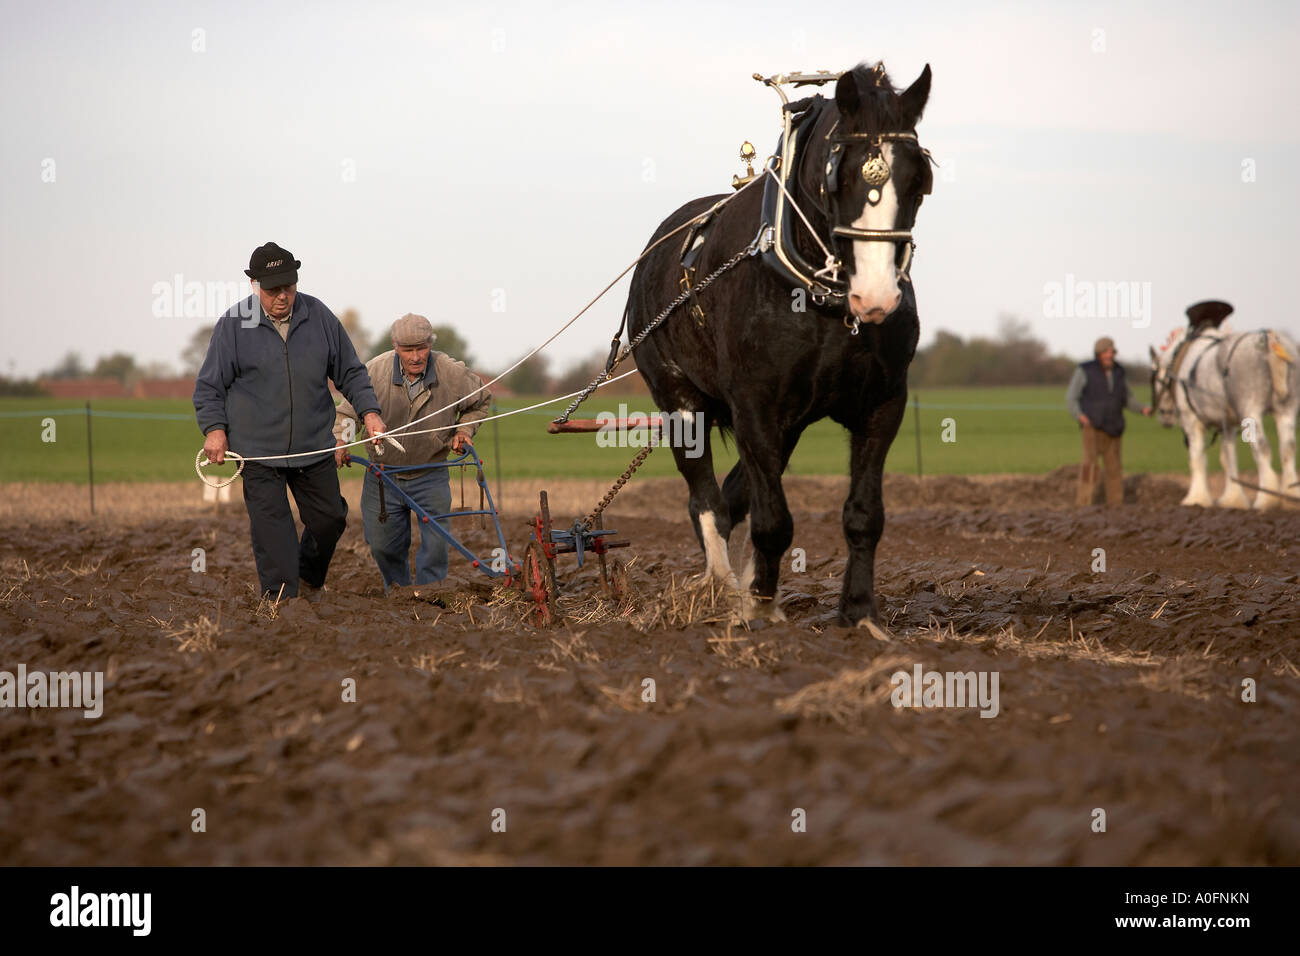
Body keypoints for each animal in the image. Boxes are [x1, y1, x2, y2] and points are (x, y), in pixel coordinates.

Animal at [625, 61, 933, 625]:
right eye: (841, 174)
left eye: (918, 177)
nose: (876, 295)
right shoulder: (752, 404)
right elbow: (772, 521)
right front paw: (758, 613)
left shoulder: (882, 404)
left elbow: (863, 515)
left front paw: (859, 614)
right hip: (680, 400)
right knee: (706, 497)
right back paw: (721, 586)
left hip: (786, 422)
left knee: (735, 495)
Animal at [1150, 325, 1299, 509]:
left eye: (1154, 379)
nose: (1164, 415)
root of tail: (1269, 340)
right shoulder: (1228, 425)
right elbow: (1228, 459)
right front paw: (1232, 499)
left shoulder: (1192, 421)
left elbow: (1197, 458)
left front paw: (1196, 498)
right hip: (1286, 410)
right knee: (1288, 448)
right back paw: (1290, 496)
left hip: (1251, 411)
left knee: (1262, 448)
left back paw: (1265, 499)